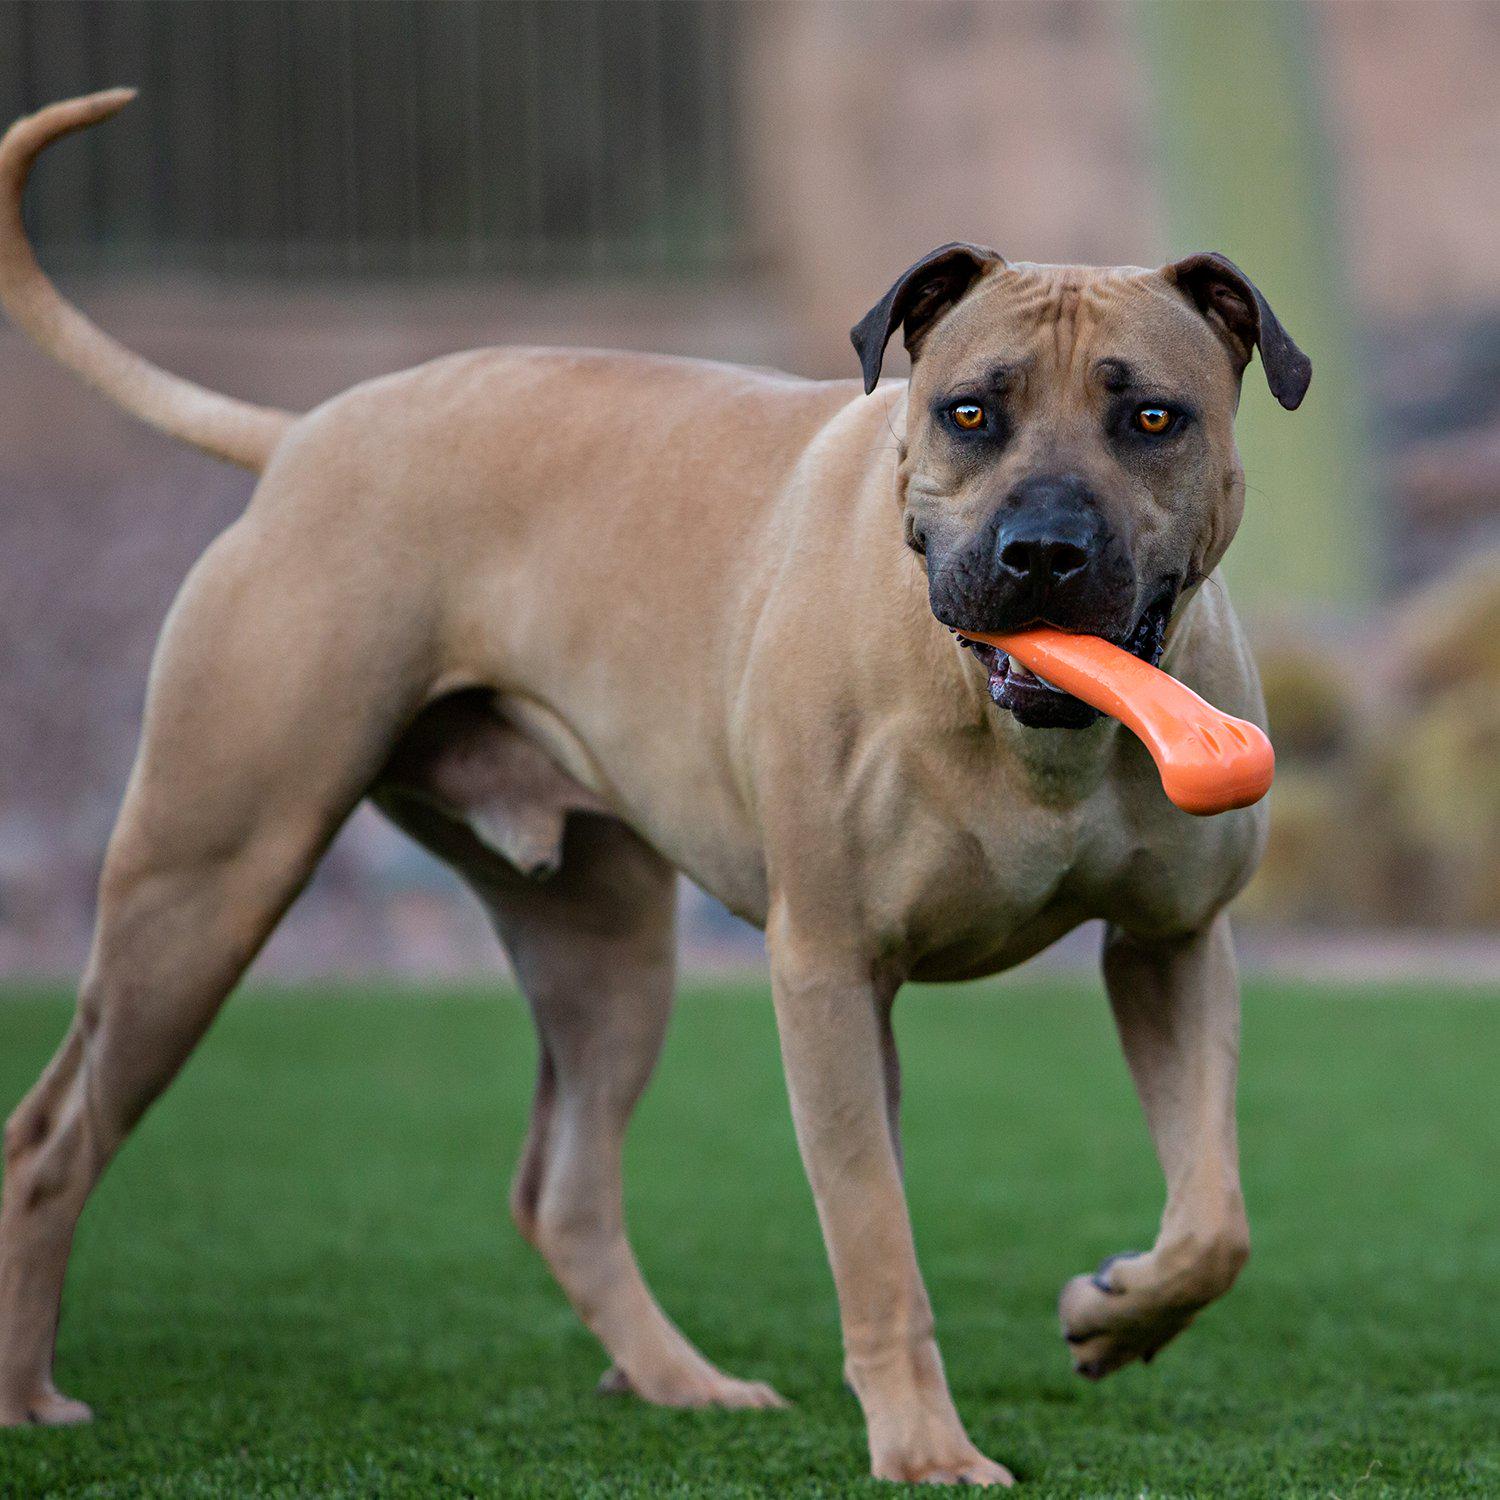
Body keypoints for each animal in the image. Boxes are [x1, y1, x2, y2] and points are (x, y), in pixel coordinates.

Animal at [0, 96, 1308, 1488]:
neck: (1031, 733)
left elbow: (1217, 1218)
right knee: (53, 1139)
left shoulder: (1173, 945)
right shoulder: (832, 977)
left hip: (603, 943)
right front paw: (922, 1446)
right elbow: (876, 1244)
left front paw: (1118, 1314)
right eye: (968, 414)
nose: (1043, 552)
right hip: (206, 885)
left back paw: (682, 1381)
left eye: (1153, 420)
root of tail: (306, 433)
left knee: (563, 1190)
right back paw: (29, 1394)